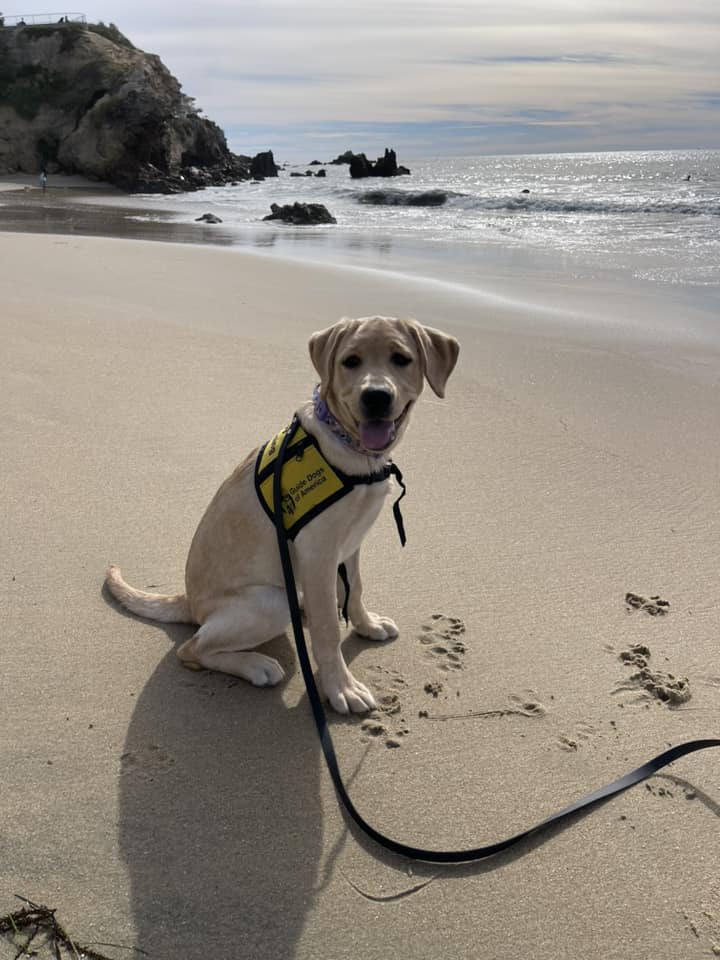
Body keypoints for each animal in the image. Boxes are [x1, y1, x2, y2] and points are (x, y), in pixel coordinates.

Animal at [105, 316, 458, 712]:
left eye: (401, 359)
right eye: (350, 362)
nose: (376, 397)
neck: (353, 450)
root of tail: (189, 601)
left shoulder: (350, 546)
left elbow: (354, 590)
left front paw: (367, 625)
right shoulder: (318, 552)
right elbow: (327, 630)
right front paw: (341, 687)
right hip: (270, 601)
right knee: (191, 649)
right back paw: (255, 664)